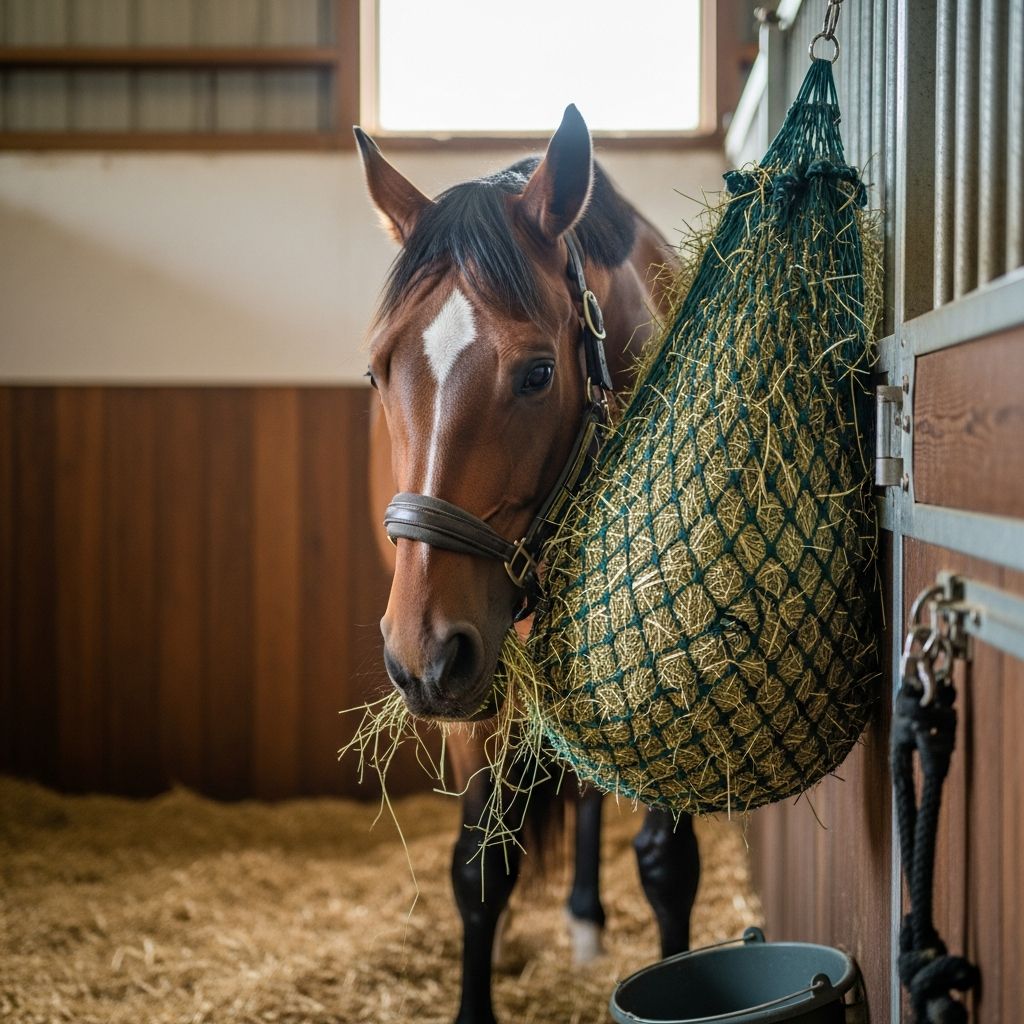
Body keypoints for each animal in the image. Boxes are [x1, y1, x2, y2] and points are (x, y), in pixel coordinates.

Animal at [357, 104, 700, 1024]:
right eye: (378, 372)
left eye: (538, 373)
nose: (421, 651)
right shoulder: (473, 688)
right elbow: (483, 867)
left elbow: (667, 865)